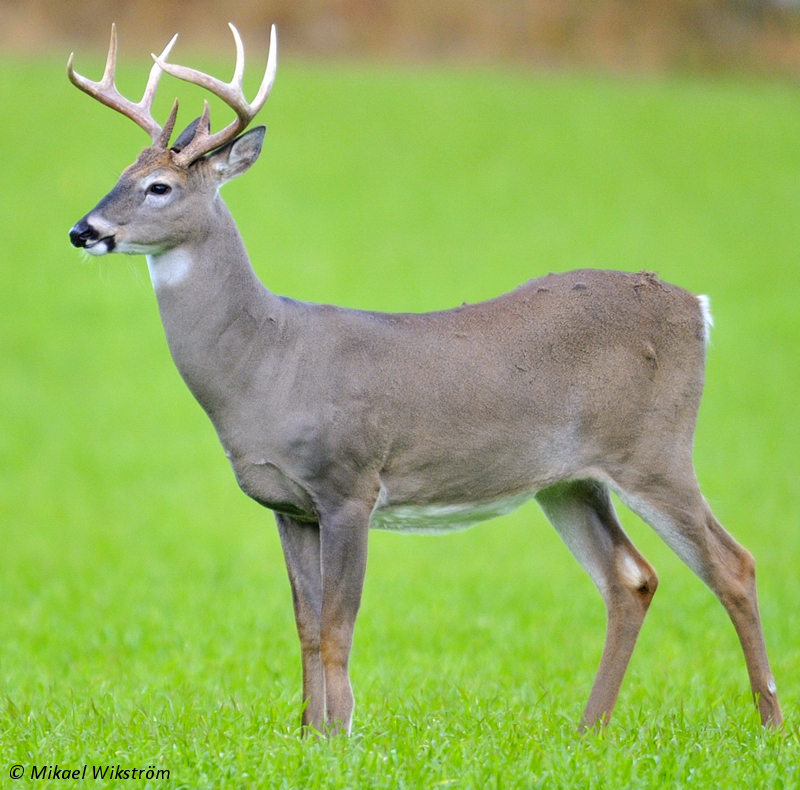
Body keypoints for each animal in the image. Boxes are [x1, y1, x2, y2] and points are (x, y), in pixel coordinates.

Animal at [67, 24, 780, 740]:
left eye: (159, 187)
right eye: (120, 175)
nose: (82, 230)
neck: (268, 360)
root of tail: (695, 308)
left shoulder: (350, 483)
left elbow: (338, 627)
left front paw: (339, 737)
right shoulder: (287, 504)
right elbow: (305, 626)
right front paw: (308, 734)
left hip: (655, 449)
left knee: (734, 564)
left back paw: (769, 721)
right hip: (570, 480)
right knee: (630, 577)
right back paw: (589, 730)